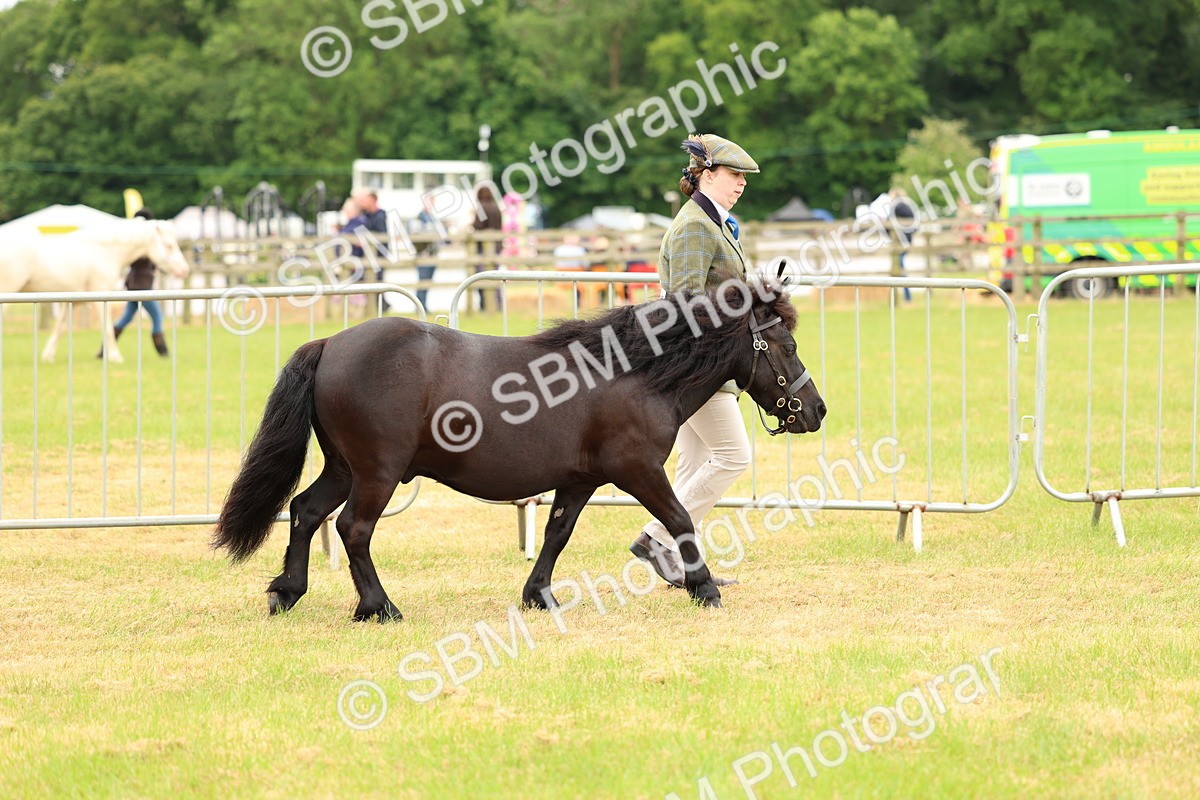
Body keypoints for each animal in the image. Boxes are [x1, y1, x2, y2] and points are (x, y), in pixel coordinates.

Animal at [0, 218, 191, 363]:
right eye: (169, 245)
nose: (185, 270)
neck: (104, 251)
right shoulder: (101, 297)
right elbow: (107, 328)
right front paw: (115, 357)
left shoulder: (74, 301)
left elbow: (60, 326)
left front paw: (48, 356)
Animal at [213, 276, 826, 620]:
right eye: (787, 344)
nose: (816, 410)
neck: (634, 374)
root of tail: (330, 344)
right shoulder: (637, 470)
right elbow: (680, 518)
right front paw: (704, 588)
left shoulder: (579, 481)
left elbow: (557, 533)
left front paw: (539, 595)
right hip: (376, 473)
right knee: (352, 530)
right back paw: (378, 607)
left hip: (344, 468)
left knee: (305, 512)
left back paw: (287, 592)